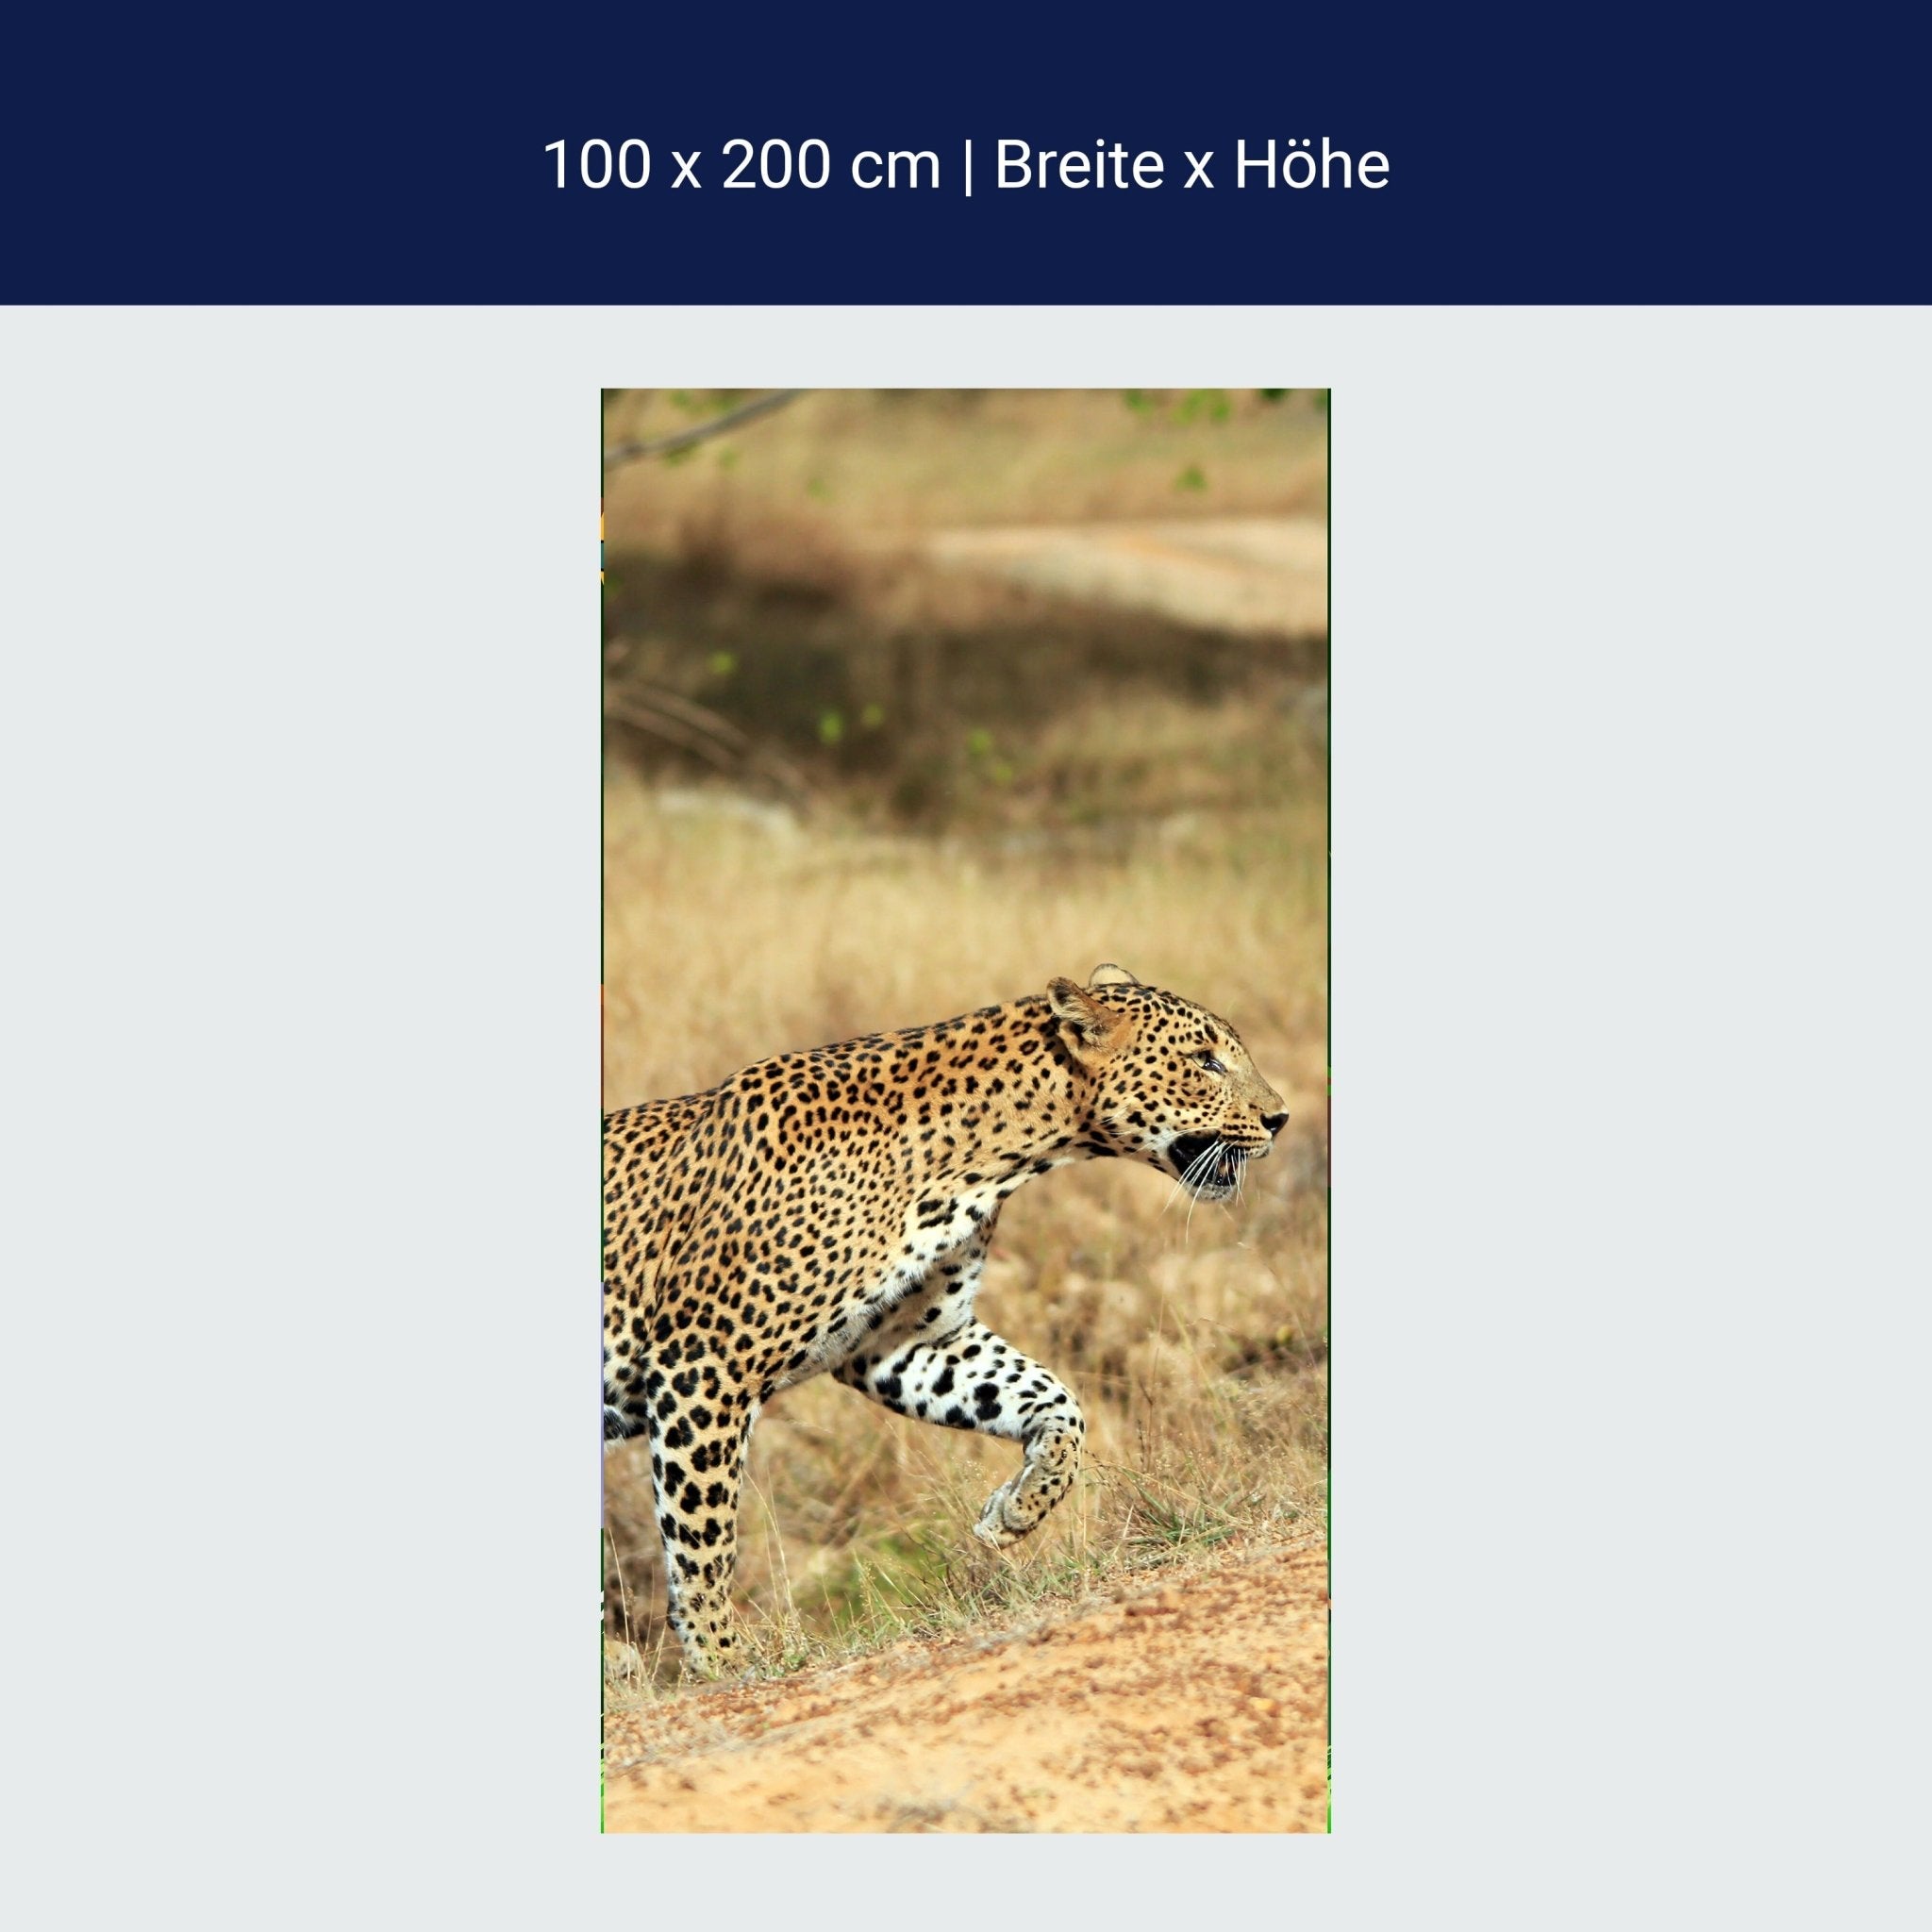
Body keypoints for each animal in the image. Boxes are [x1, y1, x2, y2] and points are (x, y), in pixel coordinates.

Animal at [602, 964, 1289, 1675]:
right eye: (1204, 1060)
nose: (1280, 1118)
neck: (986, 1163)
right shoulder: (705, 1363)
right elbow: (703, 1531)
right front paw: (723, 1657)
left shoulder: (911, 1342)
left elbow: (1056, 1401)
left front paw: (1018, 1510)